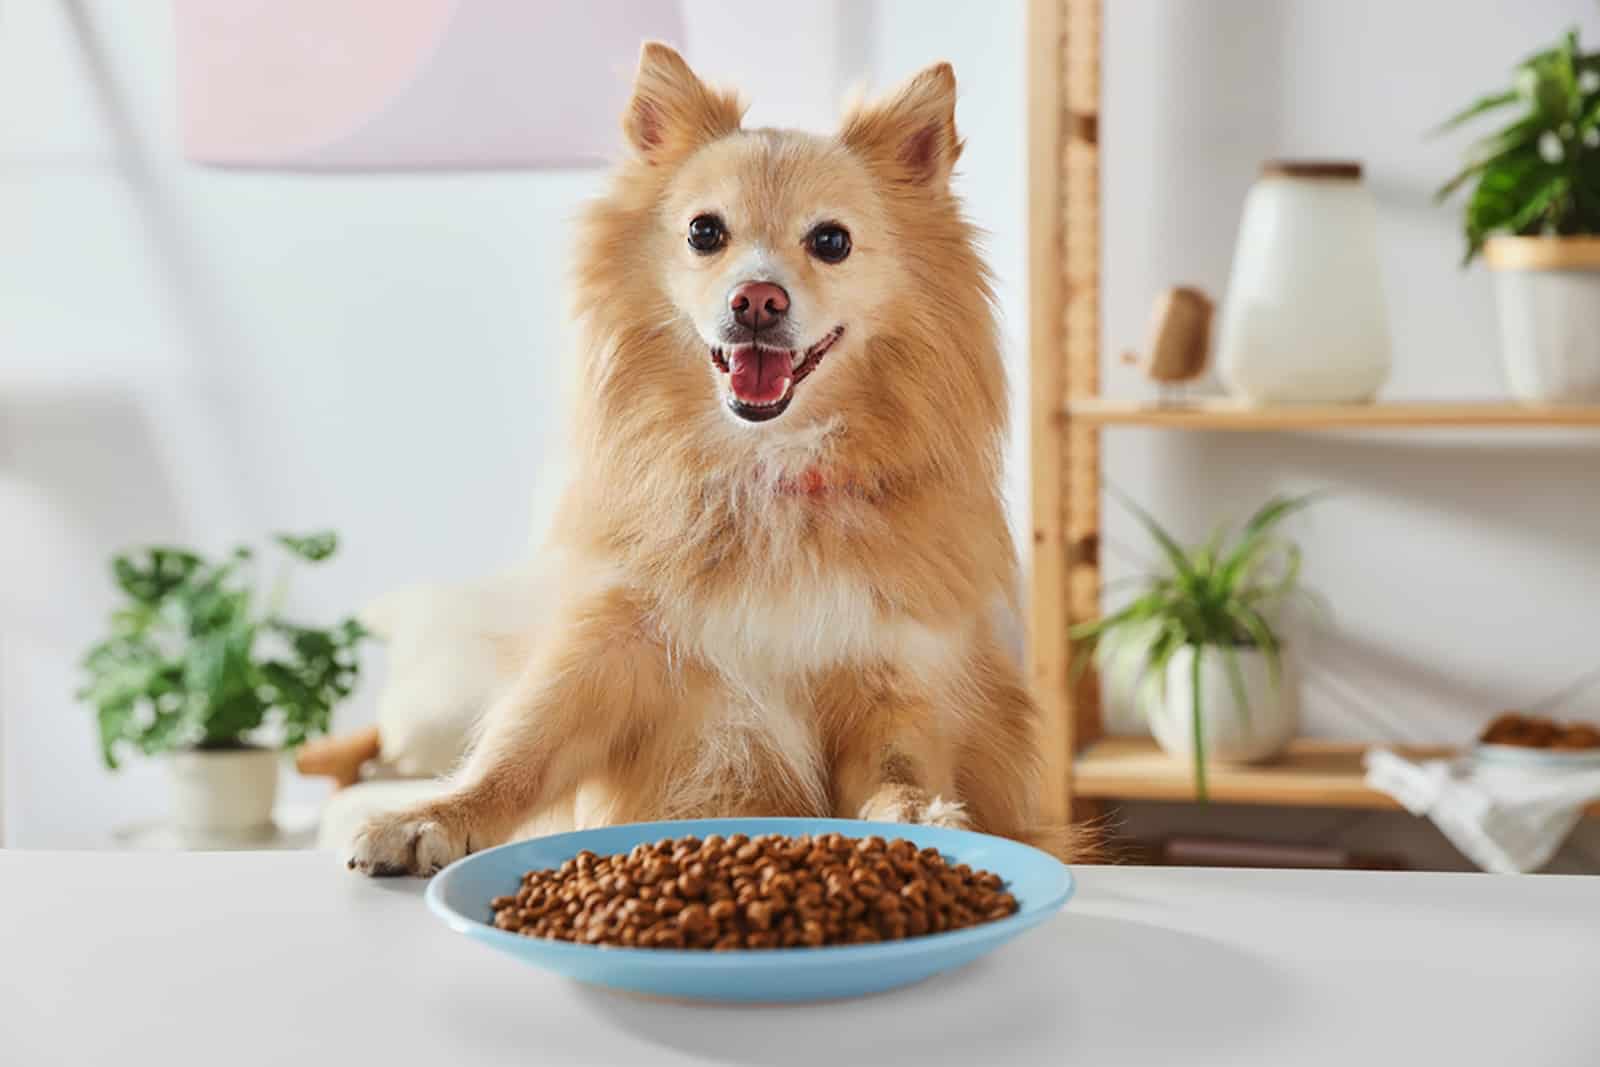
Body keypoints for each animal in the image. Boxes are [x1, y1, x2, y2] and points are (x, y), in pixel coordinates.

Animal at [347, 43, 1062, 876]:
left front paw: (922, 817)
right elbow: (520, 747)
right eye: (703, 233)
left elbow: (900, 768)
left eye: (832, 242)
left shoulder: (896, 676)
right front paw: (434, 814)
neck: (764, 469)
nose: (756, 299)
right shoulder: (609, 650)